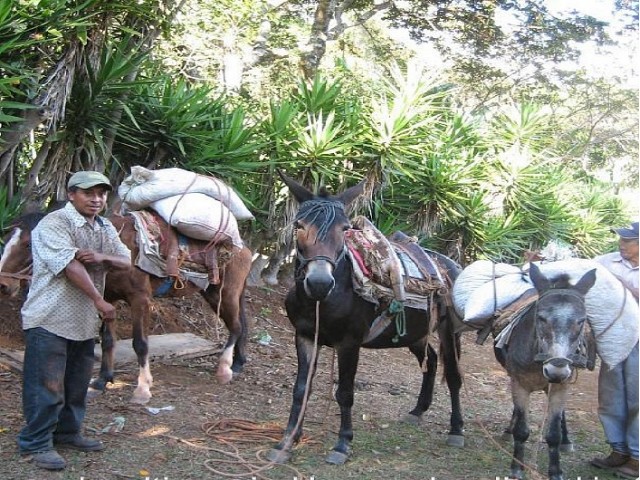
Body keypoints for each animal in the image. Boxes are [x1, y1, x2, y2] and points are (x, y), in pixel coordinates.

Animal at [0, 208, 252, 404]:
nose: (3, 284)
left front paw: (143, 389)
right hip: (219, 294)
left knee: (236, 327)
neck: (116, 250)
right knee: (242, 325)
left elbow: (140, 343)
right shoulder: (107, 299)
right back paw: (238, 364)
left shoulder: (140, 299)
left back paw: (224, 369)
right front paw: (102, 380)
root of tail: (245, 248)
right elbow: (108, 341)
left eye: (29, 244)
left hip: (223, 294)